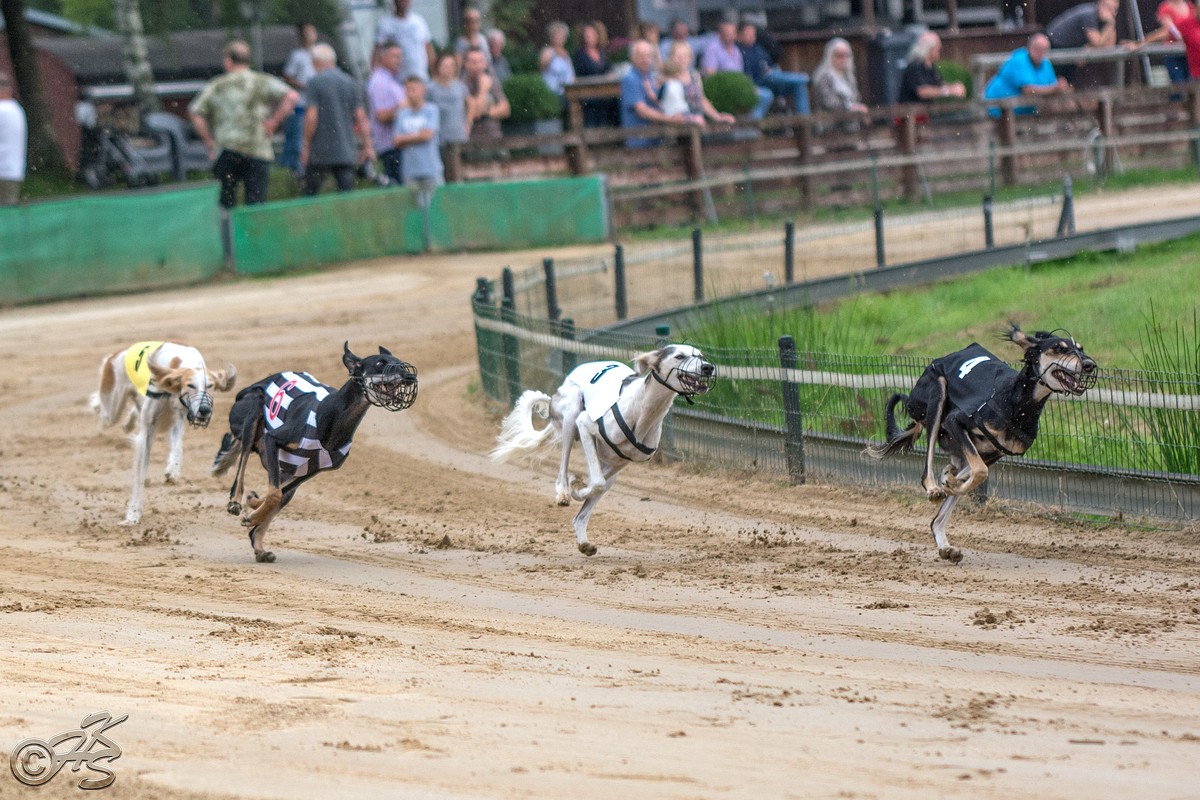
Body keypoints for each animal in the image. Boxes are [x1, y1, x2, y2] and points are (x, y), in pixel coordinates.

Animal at [90, 341, 237, 525]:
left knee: (134, 413)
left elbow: (177, 447)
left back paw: (129, 422)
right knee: (102, 409)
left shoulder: (177, 418)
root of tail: (116, 354)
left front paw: (172, 470)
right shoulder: (147, 433)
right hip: (111, 409)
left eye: (210, 386)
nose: (204, 410)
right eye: (191, 385)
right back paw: (98, 405)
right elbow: (139, 476)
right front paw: (133, 514)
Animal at [211, 342, 418, 563]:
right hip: (252, 414)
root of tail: (246, 389)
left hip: (287, 468)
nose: (410, 376)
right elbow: (274, 494)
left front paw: (254, 509)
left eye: (399, 362)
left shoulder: (309, 472)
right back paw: (236, 502)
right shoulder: (272, 440)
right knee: (242, 464)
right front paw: (251, 513)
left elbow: (275, 493)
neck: (333, 416)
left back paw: (260, 546)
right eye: (380, 363)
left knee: (277, 497)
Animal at [491, 344, 715, 556]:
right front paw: (574, 490)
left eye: (701, 356)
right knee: (564, 465)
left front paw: (579, 486)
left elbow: (596, 484)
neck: (643, 412)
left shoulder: (622, 461)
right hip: (571, 411)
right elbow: (596, 482)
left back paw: (584, 542)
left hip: (609, 468)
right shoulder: (584, 425)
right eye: (679, 356)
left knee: (581, 514)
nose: (708, 367)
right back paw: (563, 491)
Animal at [867, 324, 1097, 563]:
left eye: (1080, 348)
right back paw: (934, 489)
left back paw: (946, 542)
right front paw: (948, 483)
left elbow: (973, 472)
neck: (1018, 404)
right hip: (936, 393)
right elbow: (979, 471)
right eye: (1058, 348)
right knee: (928, 470)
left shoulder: (996, 452)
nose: (1089, 365)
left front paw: (950, 481)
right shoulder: (955, 422)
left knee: (938, 516)